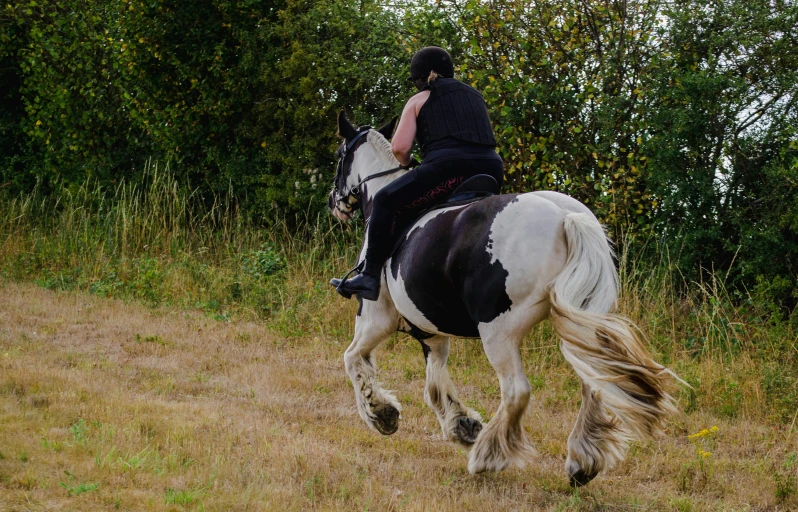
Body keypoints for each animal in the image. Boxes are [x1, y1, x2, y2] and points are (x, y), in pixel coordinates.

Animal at [328, 111, 680, 484]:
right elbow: (435, 382)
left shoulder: (375, 320)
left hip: (498, 332)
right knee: (595, 383)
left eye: (339, 156)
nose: (335, 203)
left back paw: (488, 455)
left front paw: (381, 414)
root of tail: (566, 218)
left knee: (516, 391)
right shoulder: (432, 332)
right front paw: (461, 425)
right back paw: (582, 463)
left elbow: (354, 360)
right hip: (584, 321)